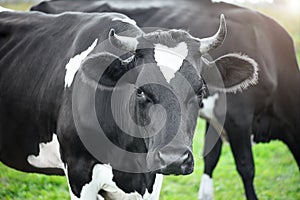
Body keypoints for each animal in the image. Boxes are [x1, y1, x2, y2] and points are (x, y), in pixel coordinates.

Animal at [31, 0, 300, 200]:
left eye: (201, 90)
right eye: (141, 91)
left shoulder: (218, 117)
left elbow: (211, 158)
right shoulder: (238, 117)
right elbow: (246, 167)